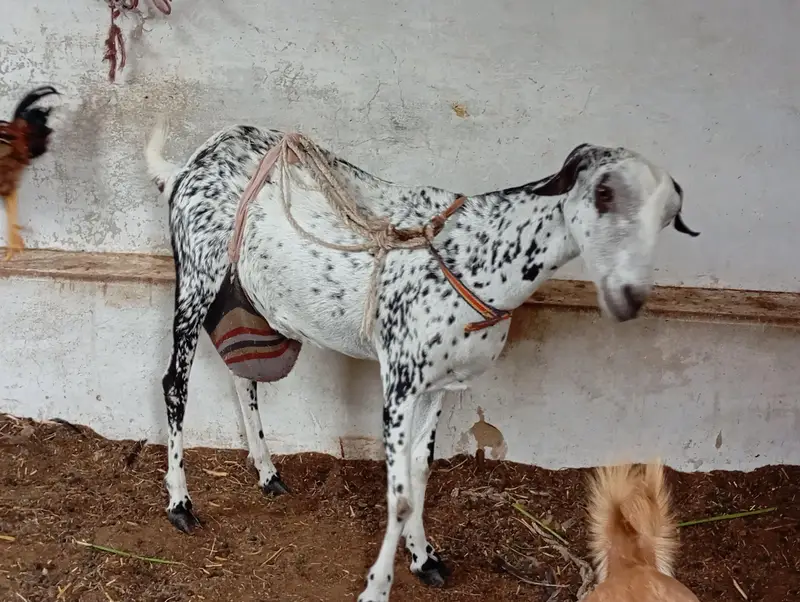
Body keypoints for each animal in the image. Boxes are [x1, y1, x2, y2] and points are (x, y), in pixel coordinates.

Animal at [144, 119, 698, 602]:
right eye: (604, 192)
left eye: (668, 216)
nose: (629, 297)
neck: (477, 257)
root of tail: (189, 163)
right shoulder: (400, 382)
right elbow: (400, 492)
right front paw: (377, 588)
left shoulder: (438, 385)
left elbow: (420, 471)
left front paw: (425, 558)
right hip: (196, 276)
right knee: (175, 382)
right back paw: (180, 503)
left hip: (247, 297)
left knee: (244, 378)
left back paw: (268, 473)